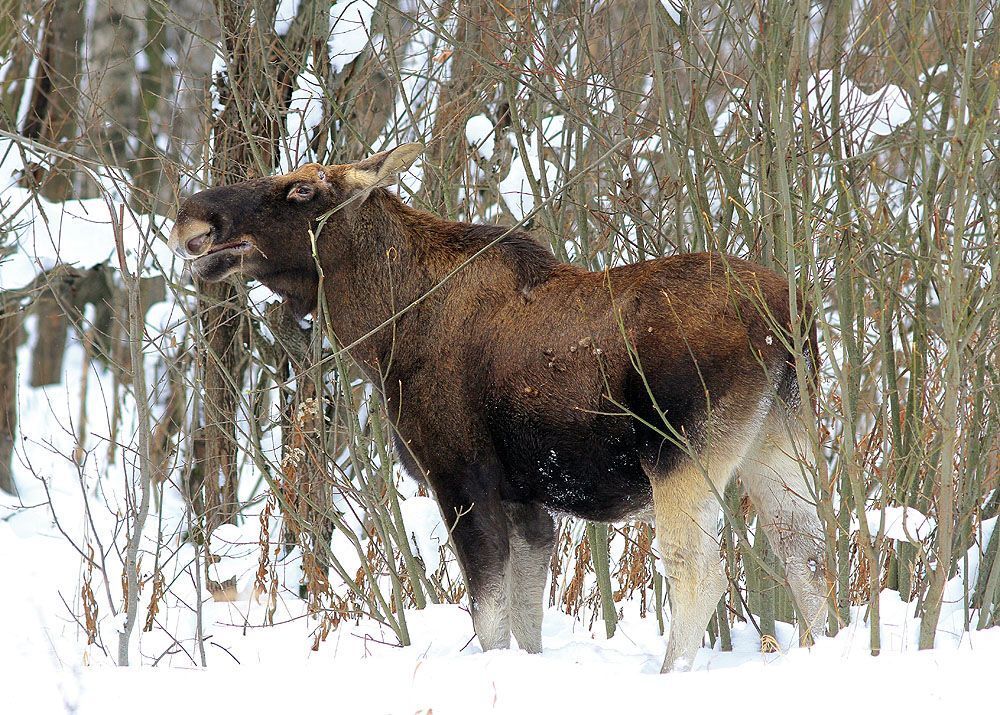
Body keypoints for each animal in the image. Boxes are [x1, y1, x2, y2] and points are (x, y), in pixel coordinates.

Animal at [168, 143, 830, 672]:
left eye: (302, 189)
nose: (187, 213)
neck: (382, 333)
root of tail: (791, 312)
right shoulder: (525, 498)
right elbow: (524, 621)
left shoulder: (462, 476)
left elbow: (488, 619)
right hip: (780, 442)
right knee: (809, 555)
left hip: (684, 458)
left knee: (702, 575)